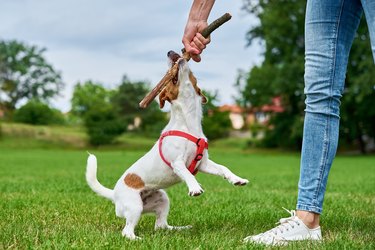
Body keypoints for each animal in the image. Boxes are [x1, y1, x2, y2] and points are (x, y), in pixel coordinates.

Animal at [86, 49, 250, 239]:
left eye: (193, 75)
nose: (172, 52)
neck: (188, 122)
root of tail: (114, 194)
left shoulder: (203, 163)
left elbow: (223, 168)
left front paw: (237, 179)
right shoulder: (177, 162)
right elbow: (187, 174)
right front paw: (195, 188)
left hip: (162, 199)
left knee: (161, 226)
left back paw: (181, 228)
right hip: (134, 206)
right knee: (127, 231)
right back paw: (138, 239)